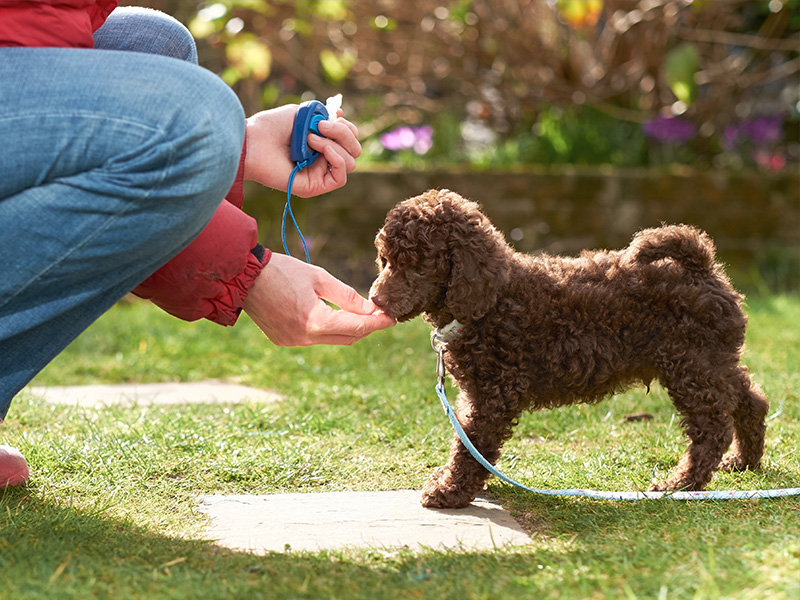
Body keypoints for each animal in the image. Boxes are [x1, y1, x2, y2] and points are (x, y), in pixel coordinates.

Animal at [368, 190, 768, 508]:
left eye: (417, 266)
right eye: (385, 260)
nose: (375, 299)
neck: (493, 301)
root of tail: (702, 267)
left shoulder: (493, 394)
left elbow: (471, 445)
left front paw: (449, 491)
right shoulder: (478, 393)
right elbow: (469, 442)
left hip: (691, 365)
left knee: (712, 427)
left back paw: (681, 484)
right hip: (711, 361)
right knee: (749, 399)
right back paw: (744, 461)